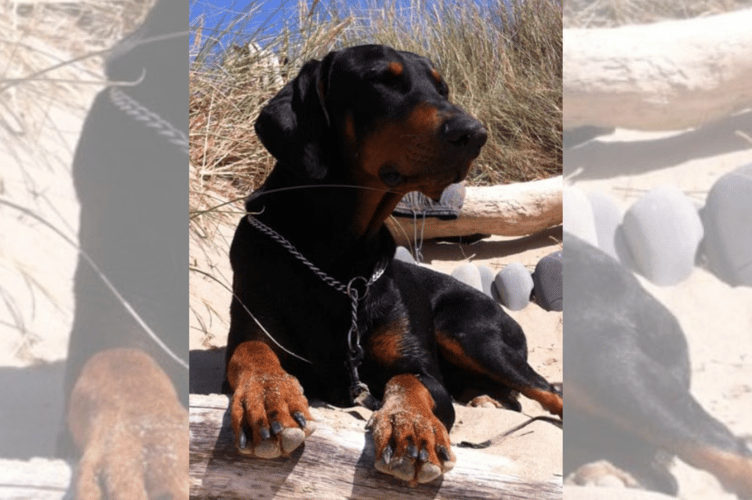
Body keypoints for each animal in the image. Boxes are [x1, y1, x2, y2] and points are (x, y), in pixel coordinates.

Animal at [226, 45, 560, 486]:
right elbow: (251, 351)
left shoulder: (424, 373)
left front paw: (411, 429)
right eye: (382, 79)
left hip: (471, 333)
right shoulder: (253, 323)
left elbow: (409, 381)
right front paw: (268, 398)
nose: (475, 133)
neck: (336, 256)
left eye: (442, 88)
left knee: (549, 390)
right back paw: (485, 399)